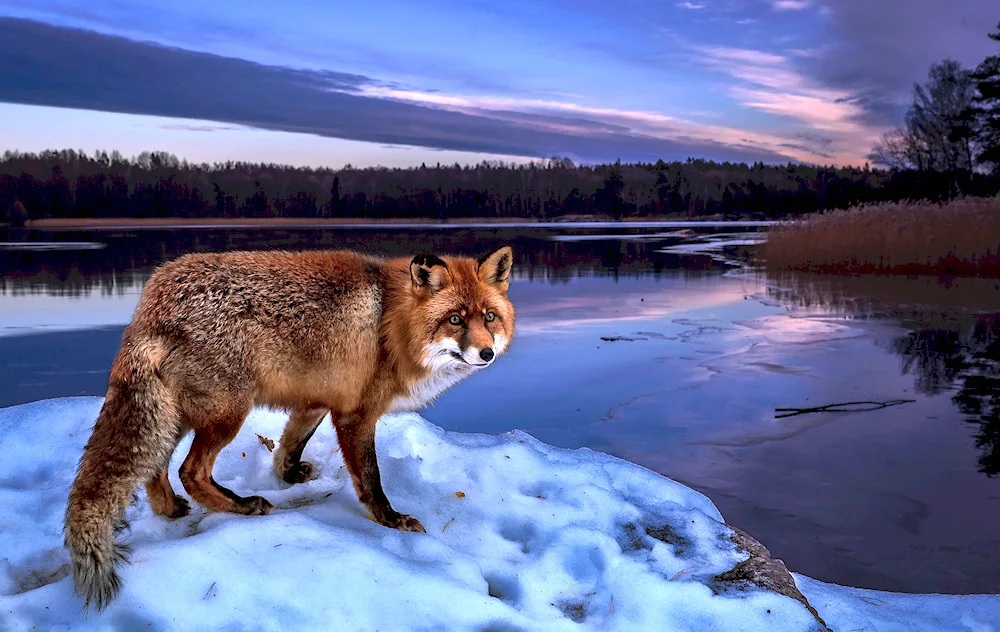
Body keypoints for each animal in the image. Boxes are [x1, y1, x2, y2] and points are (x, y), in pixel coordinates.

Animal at [63, 244, 516, 608]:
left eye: (490, 317)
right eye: (455, 320)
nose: (487, 353)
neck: (390, 323)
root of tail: (152, 299)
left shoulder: (316, 401)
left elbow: (289, 445)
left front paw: (289, 475)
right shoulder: (356, 414)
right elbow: (370, 480)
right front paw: (390, 520)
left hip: (177, 415)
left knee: (156, 469)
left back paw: (172, 509)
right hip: (226, 415)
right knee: (190, 472)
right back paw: (242, 506)